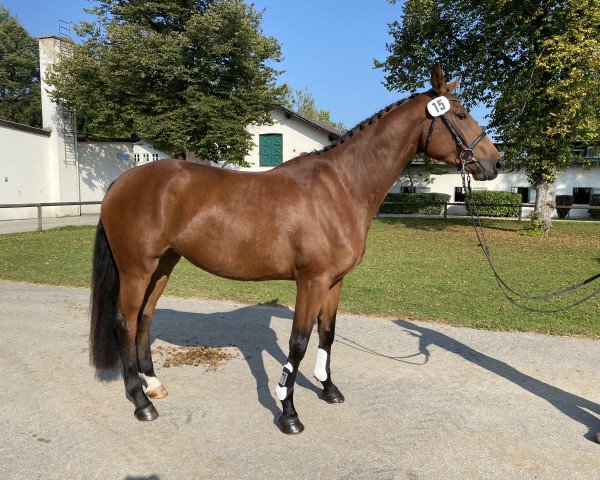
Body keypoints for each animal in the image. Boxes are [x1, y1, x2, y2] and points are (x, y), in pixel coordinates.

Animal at [89, 66, 502, 436]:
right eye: (461, 114)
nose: (494, 162)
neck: (340, 187)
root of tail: (121, 182)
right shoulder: (311, 281)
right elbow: (298, 343)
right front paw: (288, 412)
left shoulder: (334, 281)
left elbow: (327, 333)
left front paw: (328, 388)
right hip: (136, 269)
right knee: (125, 323)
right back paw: (141, 402)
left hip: (163, 265)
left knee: (145, 319)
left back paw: (153, 385)